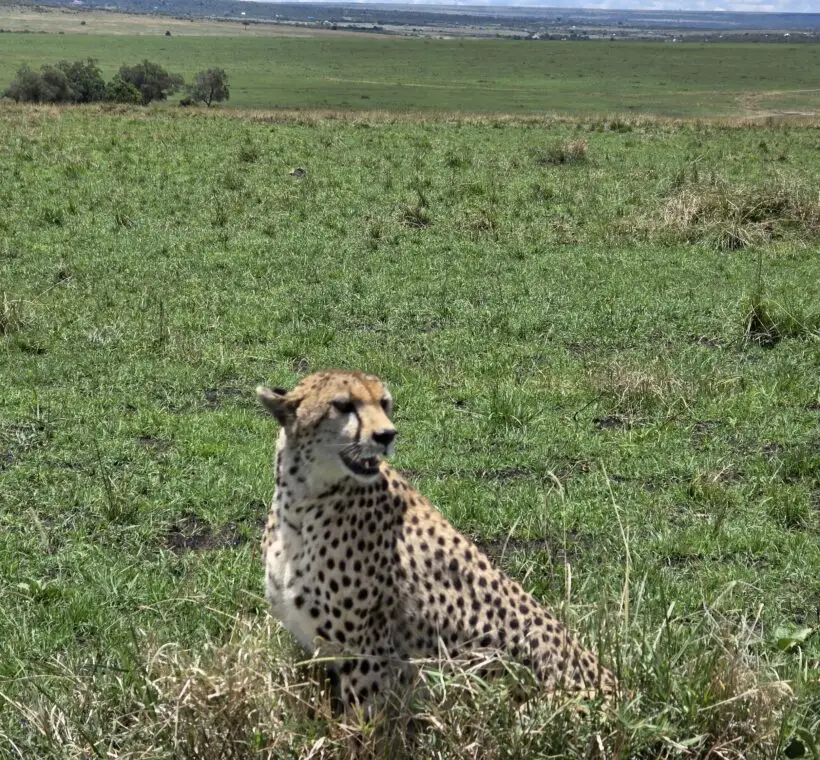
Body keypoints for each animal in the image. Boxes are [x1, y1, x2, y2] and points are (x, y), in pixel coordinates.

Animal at [258, 370, 617, 716]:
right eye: (343, 405)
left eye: (384, 403)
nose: (386, 435)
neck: (302, 501)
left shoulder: (368, 657)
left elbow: (362, 727)